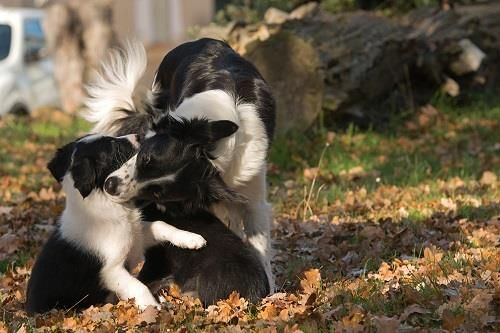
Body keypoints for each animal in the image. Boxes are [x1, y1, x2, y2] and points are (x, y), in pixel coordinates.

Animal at [24, 134, 205, 312]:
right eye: (112, 144)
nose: (138, 136)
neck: (105, 202)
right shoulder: (111, 271)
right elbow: (139, 287)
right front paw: (152, 308)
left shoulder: (135, 237)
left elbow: (160, 224)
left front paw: (191, 239)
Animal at [83, 37, 278, 290]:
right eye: (145, 157)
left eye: (158, 193)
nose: (110, 186)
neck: (213, 149)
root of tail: (198, 40)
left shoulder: (251, 192)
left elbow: (259, 245)